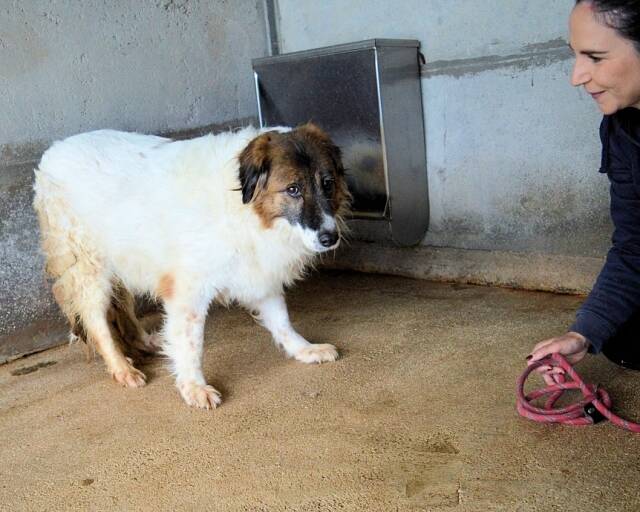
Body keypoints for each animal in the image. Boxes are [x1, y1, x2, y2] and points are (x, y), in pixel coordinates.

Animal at [33, 123, 350, 408]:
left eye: (328, 183)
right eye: (293, 189)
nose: (330, 238)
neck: (242, 205)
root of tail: (54, 149)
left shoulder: (258, 272)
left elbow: (282, 321)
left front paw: (303, 349)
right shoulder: (188, 291)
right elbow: (191, 345)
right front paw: (193, 388)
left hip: (126, 259)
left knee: (123, 306)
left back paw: (148, 342)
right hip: (89, 269)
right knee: (97, 323)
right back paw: (122, 368)